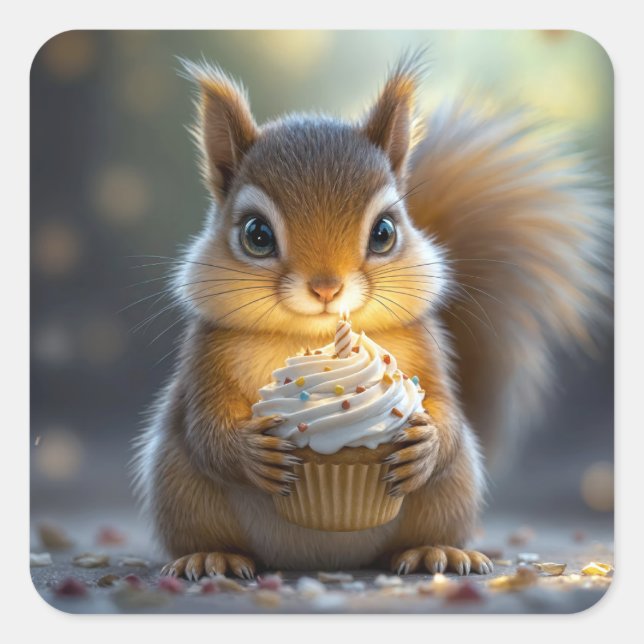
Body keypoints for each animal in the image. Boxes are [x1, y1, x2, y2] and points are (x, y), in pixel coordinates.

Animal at [132, 52, 611, 579]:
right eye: (256, 235)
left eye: (384, 232)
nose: (326, 288)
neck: (308, 336)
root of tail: (321, 558)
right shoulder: (206, 353)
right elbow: (206, 429)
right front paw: (250, 452)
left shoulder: (425, 346)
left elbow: (445, 408)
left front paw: (425, 445)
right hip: (180, 488)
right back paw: (212, 556)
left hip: (452, 491)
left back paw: (436, 552)